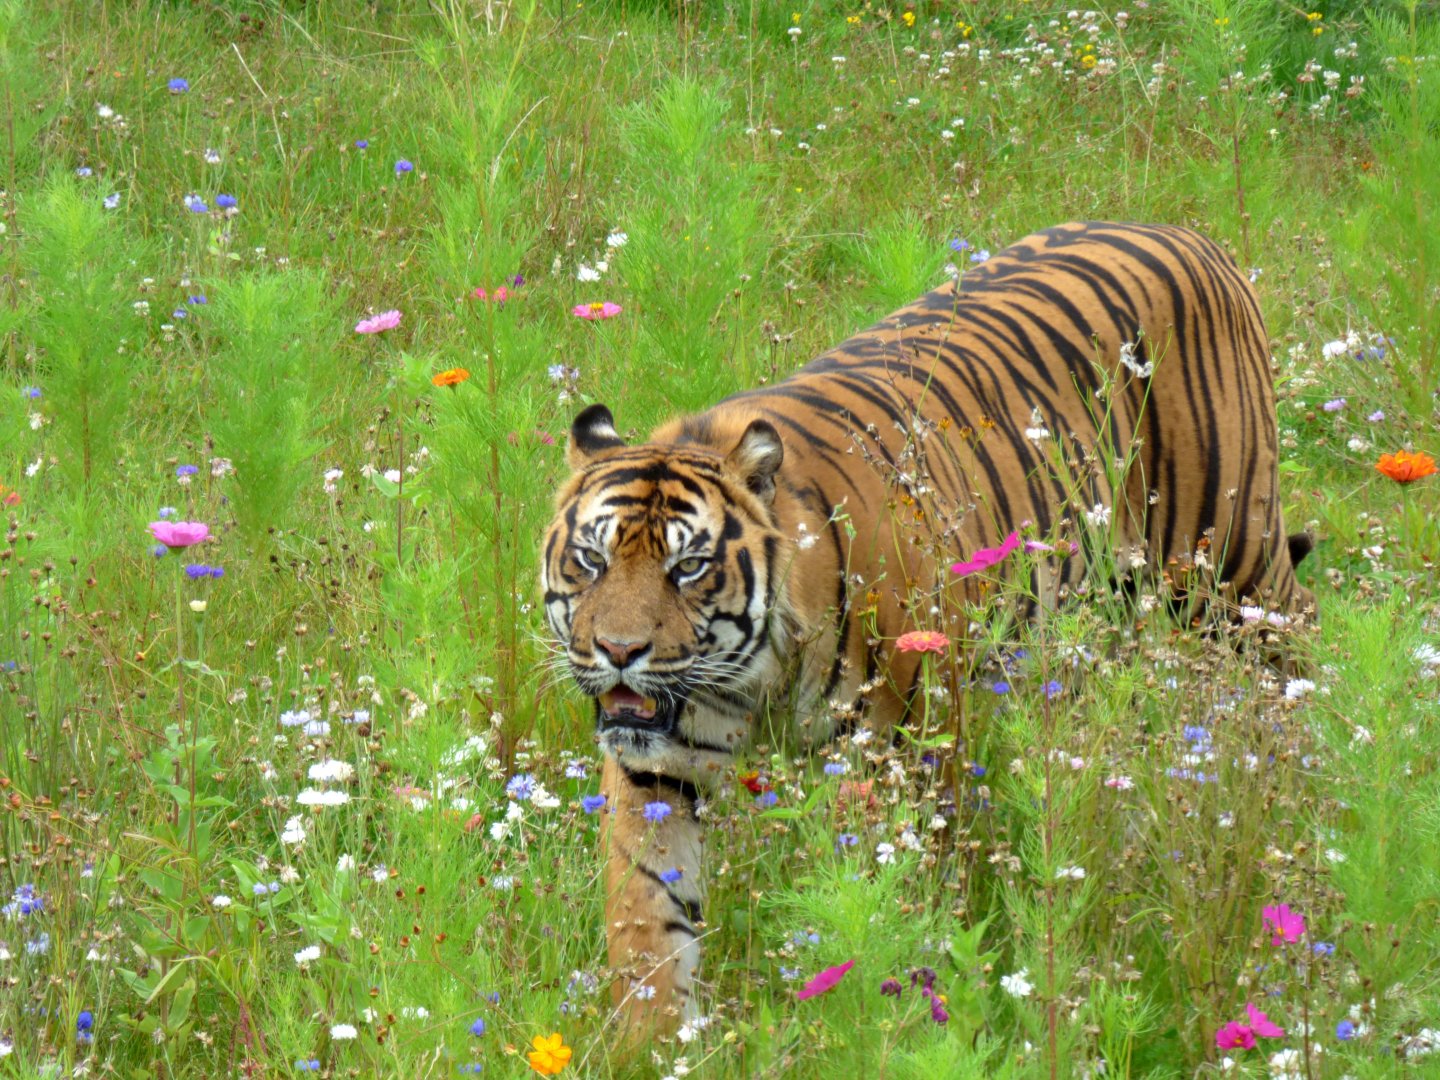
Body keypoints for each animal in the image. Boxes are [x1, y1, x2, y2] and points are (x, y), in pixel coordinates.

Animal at [539, 220, 1314, 1034]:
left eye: (687, 568)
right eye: (591, 559)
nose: (618, 651)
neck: (747, 685)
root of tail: (1188, 234)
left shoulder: (915, 754)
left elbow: (917, 904)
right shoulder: (655, 773)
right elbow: (648, 931)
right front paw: (655, 1040)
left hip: (1230, 567)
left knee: (1291, 663)